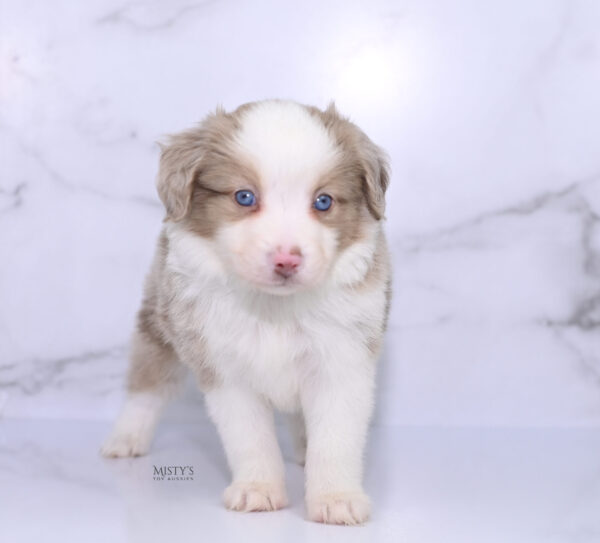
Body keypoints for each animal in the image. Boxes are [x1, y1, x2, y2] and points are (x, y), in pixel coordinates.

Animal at [102, 100, 394, 524]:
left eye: (323, 202)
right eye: (244, 197)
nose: (287, 260)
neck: (274, 307)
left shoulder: (341, 360)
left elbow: (335, 437)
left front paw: (336, 498)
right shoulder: (223, 366)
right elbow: (250, 437)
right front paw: (258, 490)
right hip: (159, 320)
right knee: (148, 382)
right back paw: (126, 438)